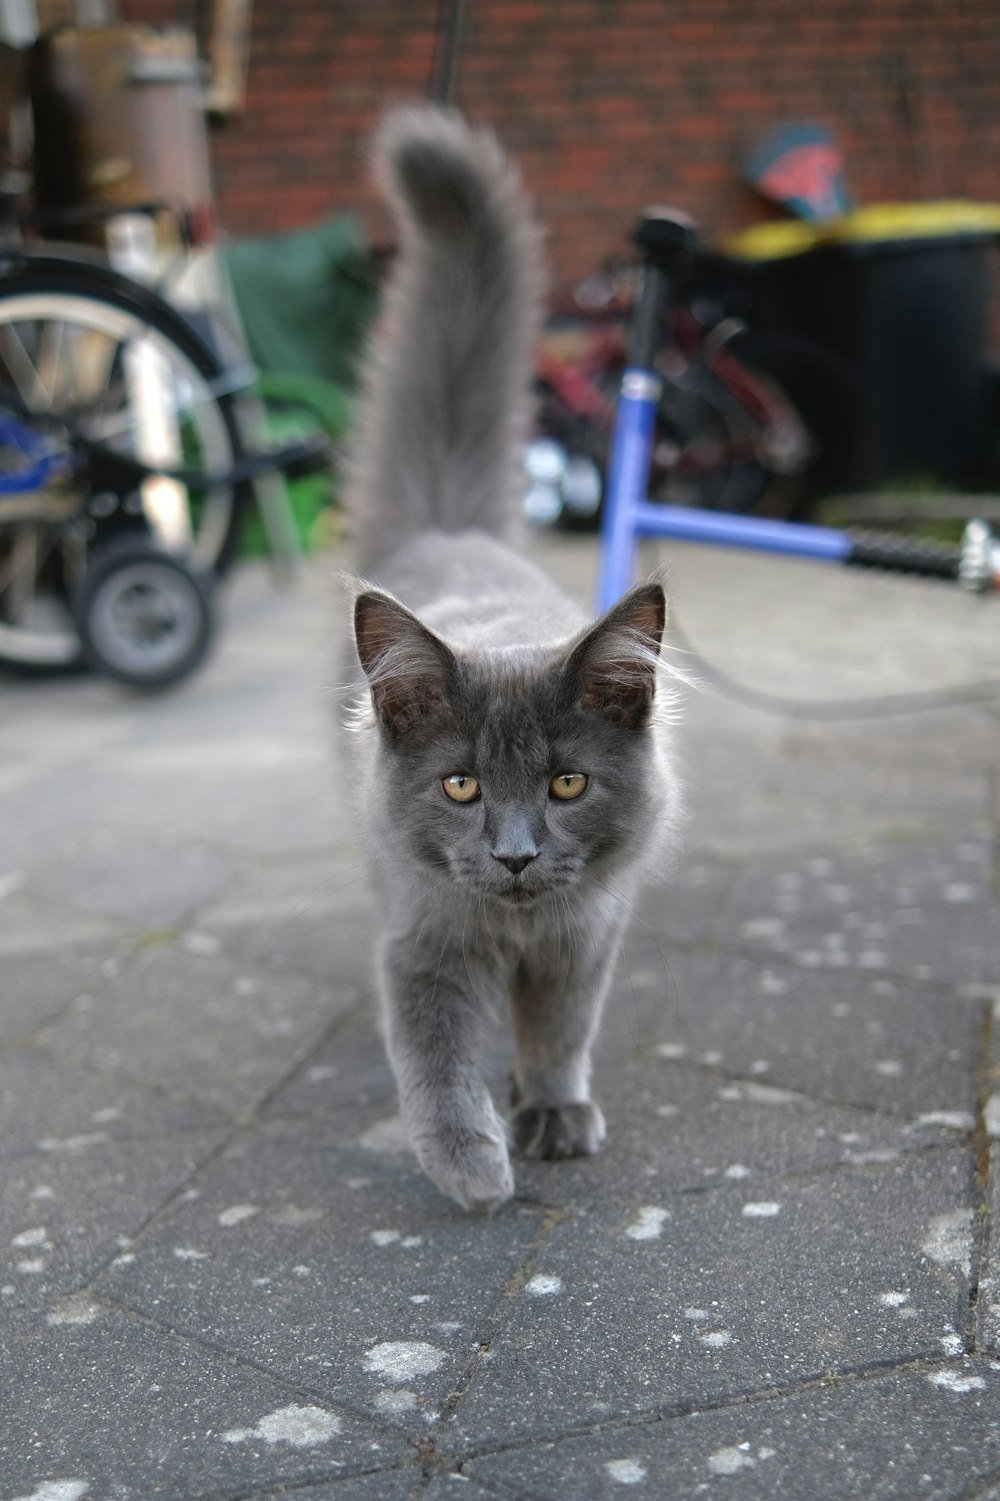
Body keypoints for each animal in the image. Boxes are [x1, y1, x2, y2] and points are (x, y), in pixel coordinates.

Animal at [346, 105, 681, 1206]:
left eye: (568, 782)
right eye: (460, 787)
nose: (516, 852)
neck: (515, 931)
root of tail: (450, 529)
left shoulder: (585, 937)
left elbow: (559, 1030)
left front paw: (553, 1111)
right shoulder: (423, 940)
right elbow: (437, 1057)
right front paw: (472, 1166)